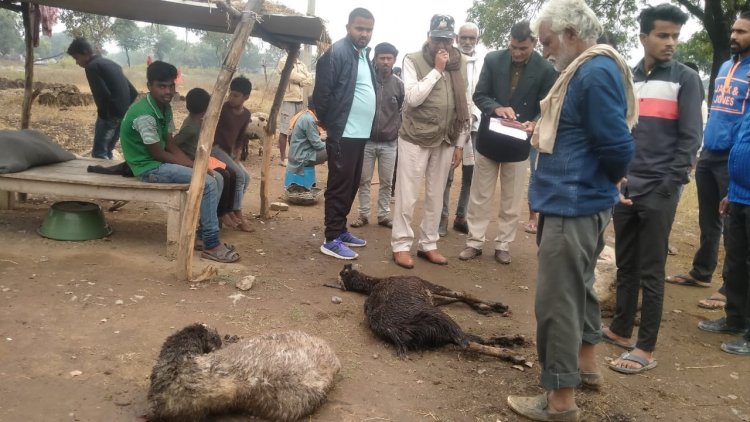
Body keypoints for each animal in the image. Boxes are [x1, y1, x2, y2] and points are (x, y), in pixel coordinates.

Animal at [334, 266, 528, 364]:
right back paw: (513, 354)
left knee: (470, 338)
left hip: (437, 331)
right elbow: (461, 293)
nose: (346, 267)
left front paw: (483, 307)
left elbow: (456, 297)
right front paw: (496, 305)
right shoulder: (429, 287)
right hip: (441, 319)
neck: (374, 283)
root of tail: (397, 333)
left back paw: (513, 340)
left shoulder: (432, 298)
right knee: (465, 342)